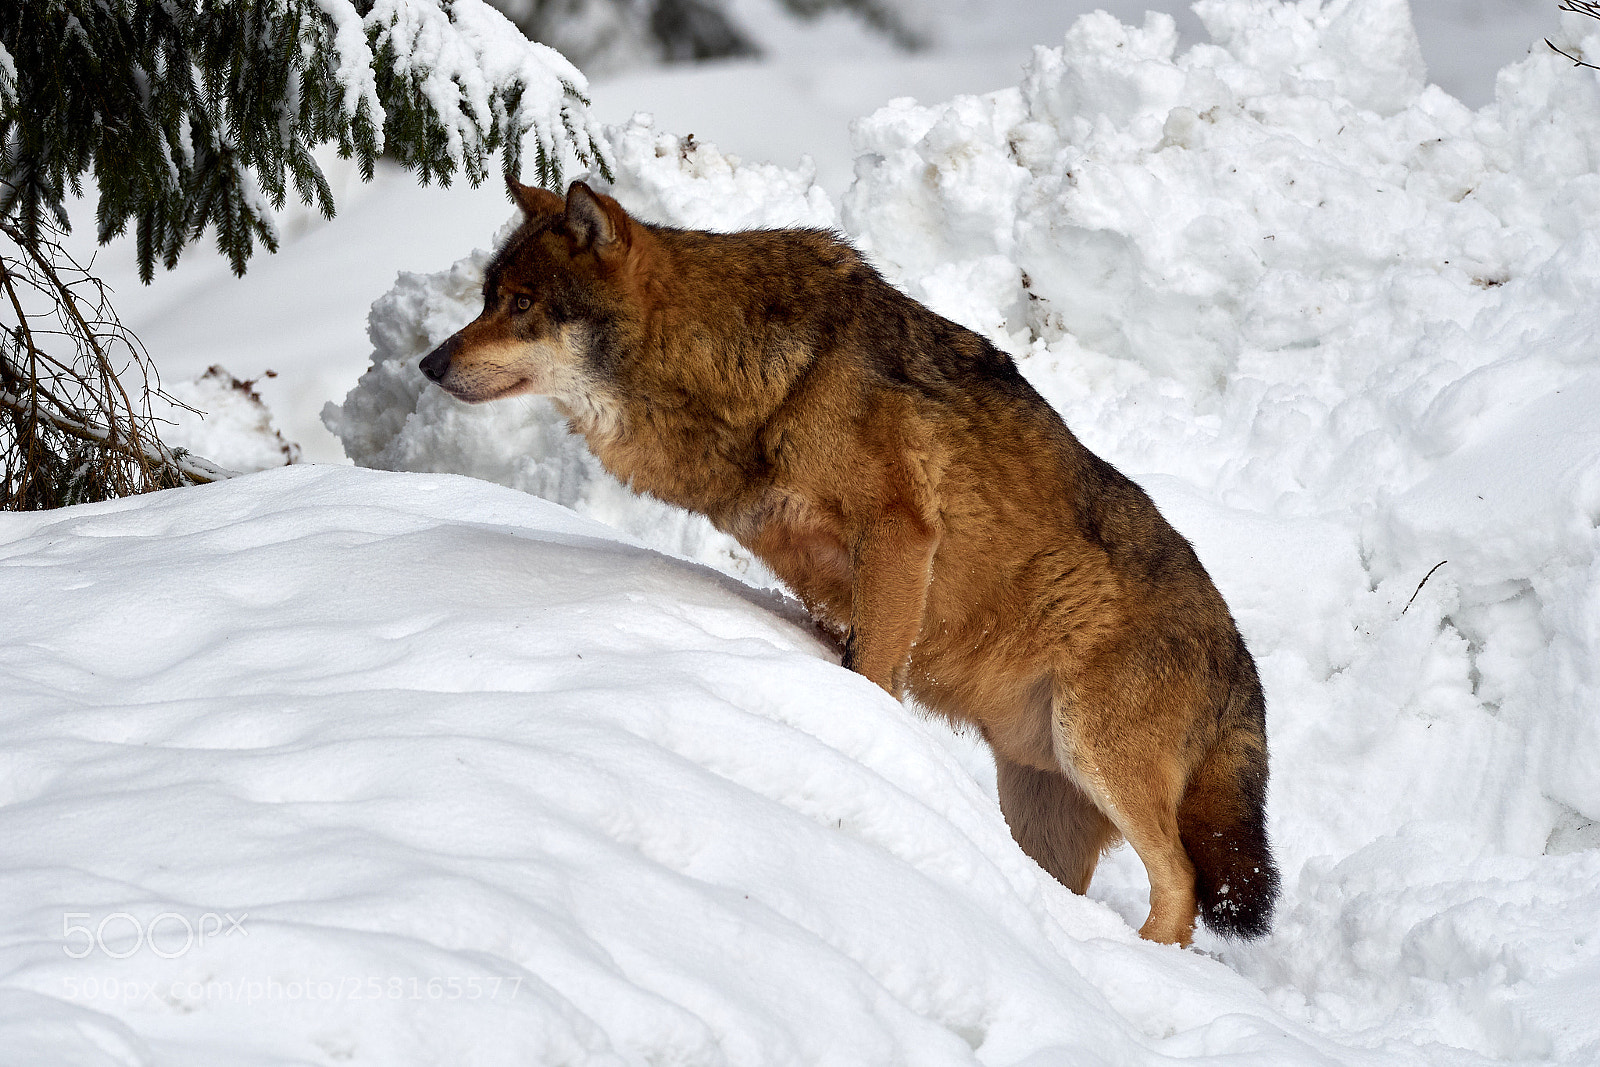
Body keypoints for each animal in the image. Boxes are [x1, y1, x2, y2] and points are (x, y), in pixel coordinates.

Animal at [420, 178, 1280, 945]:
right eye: (487, 297)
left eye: (521, 303)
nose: (429, 363)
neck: (749, 371)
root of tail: (1242, 659)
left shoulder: (899, 532)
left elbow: (871, 675)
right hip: (1039, 805)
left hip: (1094, 750)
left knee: (1183, 884)